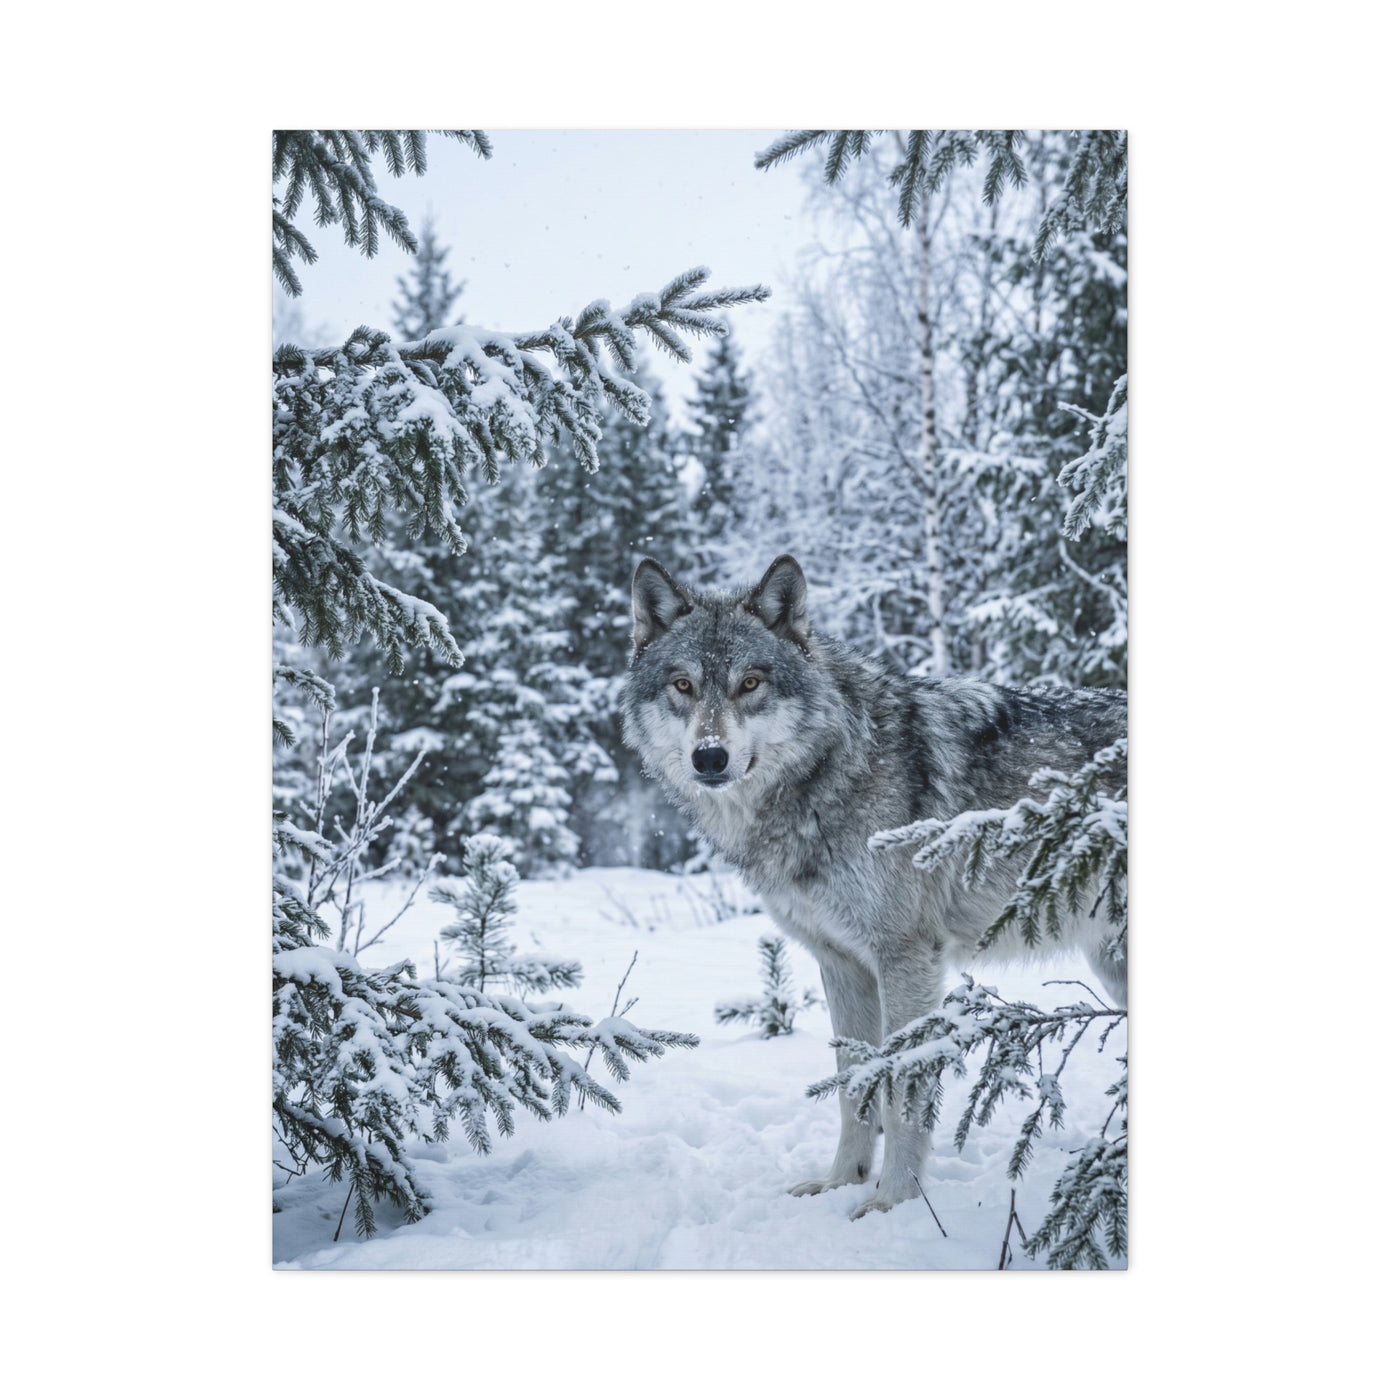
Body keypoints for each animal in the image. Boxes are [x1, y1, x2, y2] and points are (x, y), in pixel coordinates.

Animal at [619, 554, 1127, 1219]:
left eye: (750, 683)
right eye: (682, 685)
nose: (709, 757)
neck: (832, 774)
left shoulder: (904, 957)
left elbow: (904, 1087)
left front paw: (892, 1204)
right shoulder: (841, 963)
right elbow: (852, 1085)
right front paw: (840, 1184)